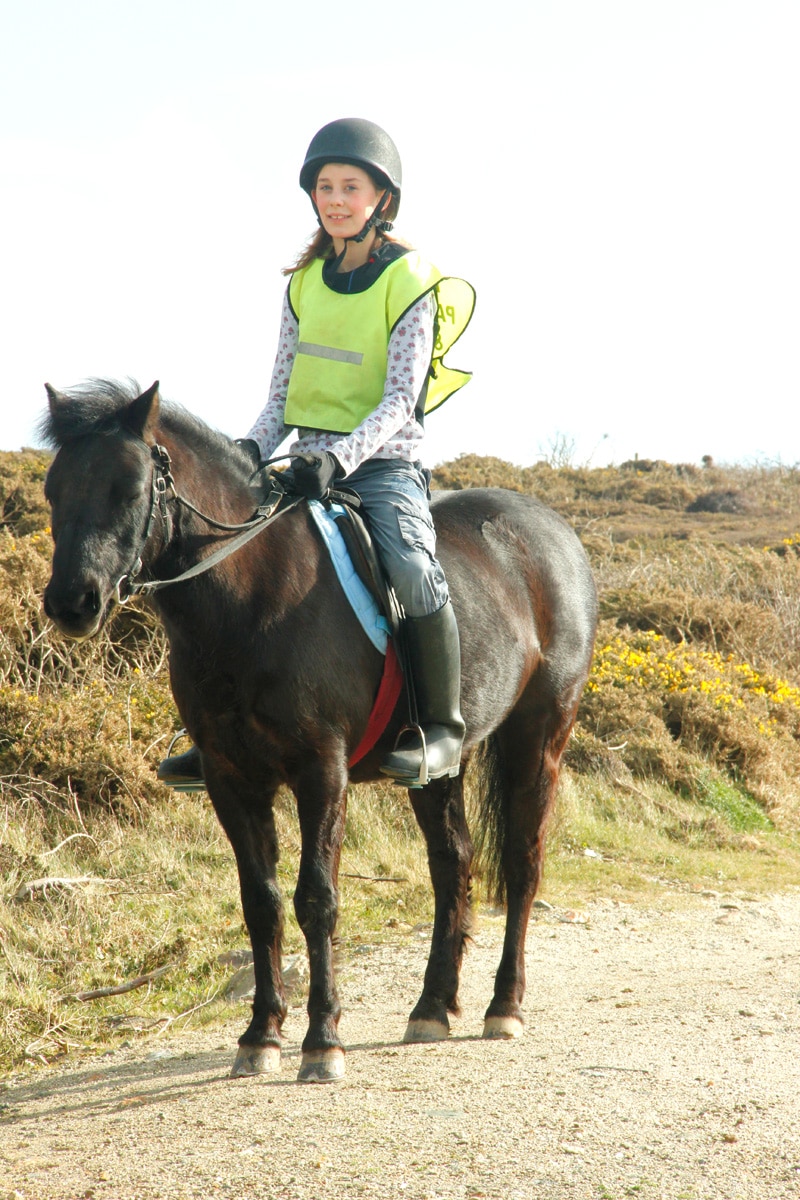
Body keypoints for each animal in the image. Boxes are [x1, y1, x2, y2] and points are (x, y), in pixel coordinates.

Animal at [41, 378, 598, 1083]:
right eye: (54, 489)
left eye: (129, 488)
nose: (72, 603)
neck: (254, 596)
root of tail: (555, 531)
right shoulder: (231, 778)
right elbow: (261, 903)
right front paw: (261, 1034)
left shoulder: (320, 770)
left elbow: (318, 899)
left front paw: (322, 1040)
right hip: (437, 764)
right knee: (454, 865)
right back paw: (432, 1007)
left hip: (539, 735)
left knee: (523, 863)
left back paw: (505, 1005)